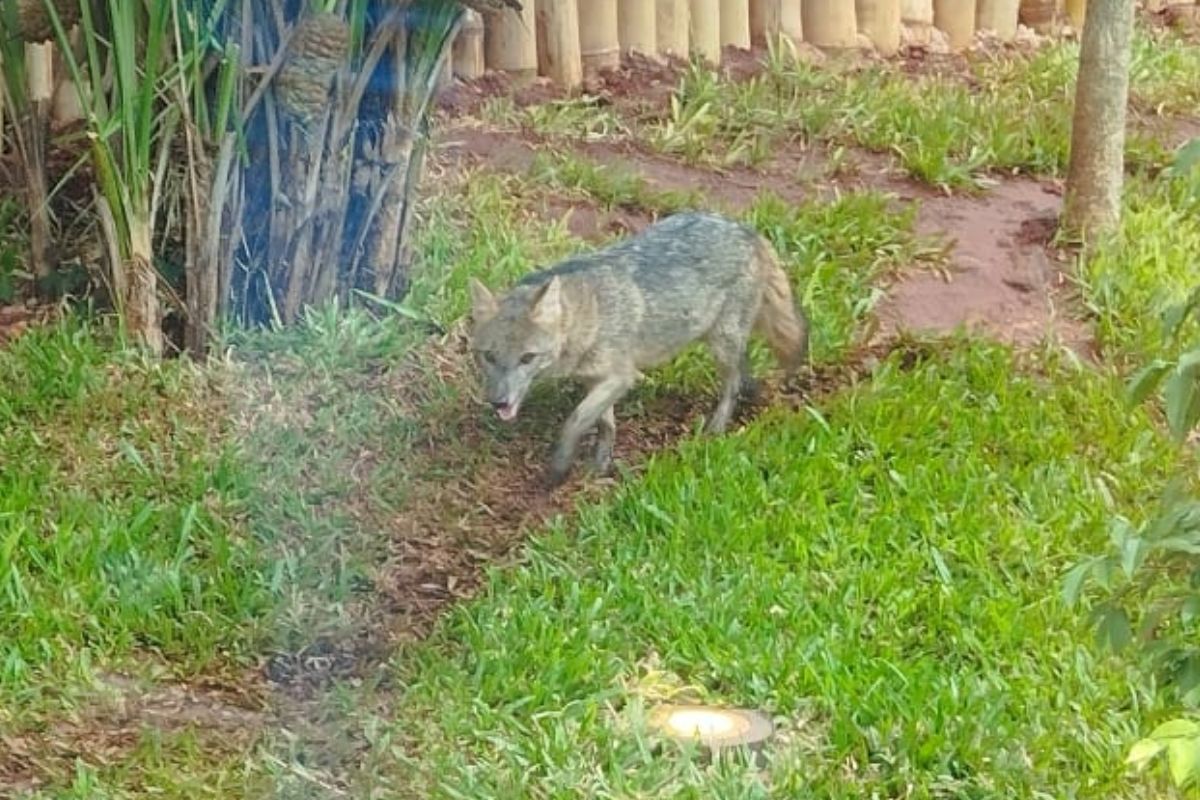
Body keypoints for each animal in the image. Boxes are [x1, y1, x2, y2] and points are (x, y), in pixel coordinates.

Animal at [463, 211, 811, 489]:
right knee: (744, 372)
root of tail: (746, 229)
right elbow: (605, 425)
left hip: (721, 345)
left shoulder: (622, 377)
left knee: (733, 384)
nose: (498, 402)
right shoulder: (596, 380)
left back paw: (715, 430)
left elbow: (574, 421)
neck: (592, 313)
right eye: (489, 357)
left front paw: (559, 469)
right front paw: (599, 465)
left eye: (527, 358)